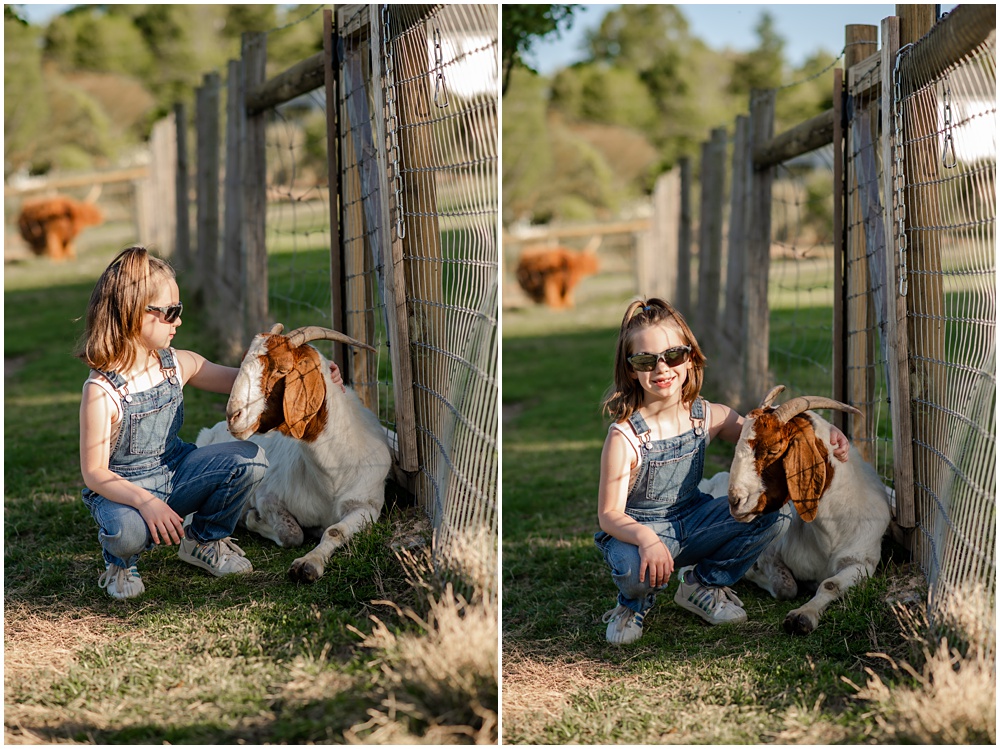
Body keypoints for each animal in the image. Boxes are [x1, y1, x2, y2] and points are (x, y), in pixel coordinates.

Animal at [197, 322, 392, 584]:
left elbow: (335, 530)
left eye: (282, 369)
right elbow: (291, 534)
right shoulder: (266, 497)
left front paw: (309, 564)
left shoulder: (367, 505)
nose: (233, 415)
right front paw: (251, 518)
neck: (332, 473)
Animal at [720, 382, 892, 636]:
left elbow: (830, 584)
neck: (831, 529)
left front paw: (803, 616)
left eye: (773, 449)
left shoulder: (861, 561)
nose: (734, 501)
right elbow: (785, 587)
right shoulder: (771, 550)